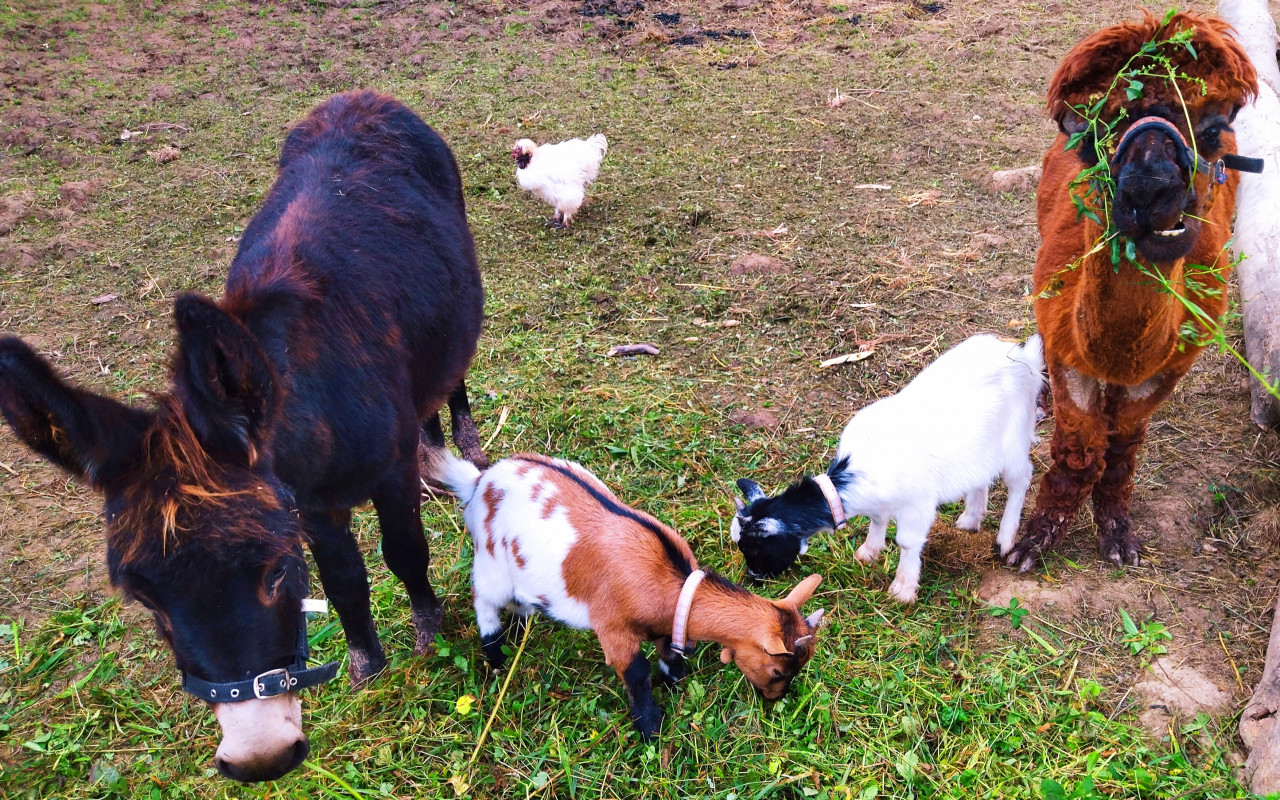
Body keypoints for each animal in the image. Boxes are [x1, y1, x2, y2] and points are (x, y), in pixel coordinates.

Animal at [430, 450, 824, 737]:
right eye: (778, 670)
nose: (776, 699)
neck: (670, 583)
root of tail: (481, 481)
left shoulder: (668, 622)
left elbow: (669, 650)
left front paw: (673, 681)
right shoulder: (613, 627)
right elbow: (635, 671)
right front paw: (650, 726)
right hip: (491, 561)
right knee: (484, 601)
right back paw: (496, 655)